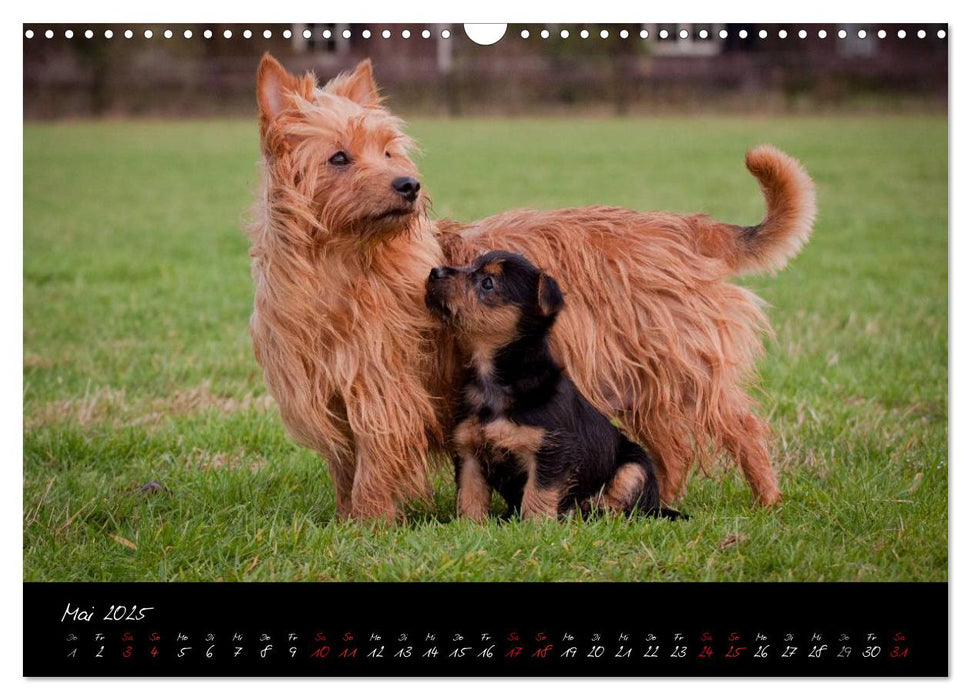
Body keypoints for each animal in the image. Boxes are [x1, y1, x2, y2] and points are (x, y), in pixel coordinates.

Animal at [426, 252, 684, 520]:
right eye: (470, 265)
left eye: (488, 283)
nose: (434, 272)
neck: (495, 382)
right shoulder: (469, 451)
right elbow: (470, 493)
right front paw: (471, 523)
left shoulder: (552, 451)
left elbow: (538, 492)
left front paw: (536, 524)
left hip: (635, 466)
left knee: (625, 505)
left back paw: (591, 510)